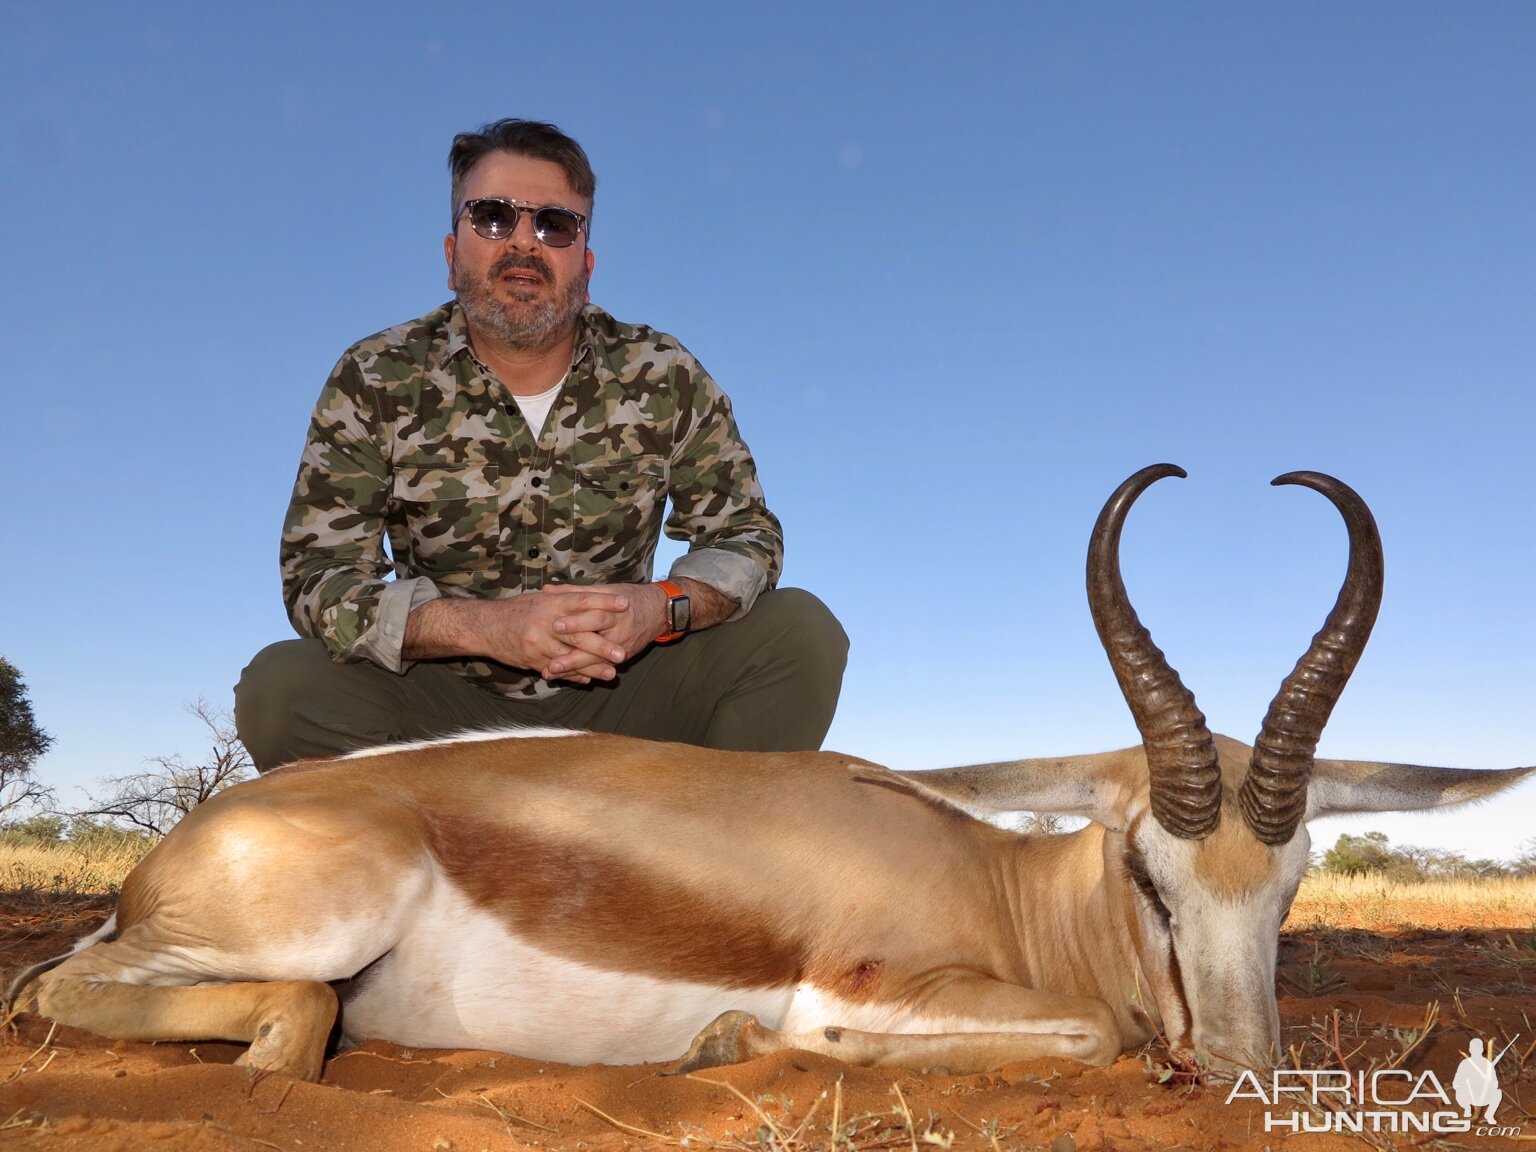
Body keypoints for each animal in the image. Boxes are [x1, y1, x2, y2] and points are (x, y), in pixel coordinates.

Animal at [12, 463, 1536, 1081]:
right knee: (93, 994)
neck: (1004, 885)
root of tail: (169, 858)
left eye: (1290, 886)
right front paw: (737, 1043)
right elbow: (1083, 1034)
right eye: (1147, 874)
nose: (1236, 1069)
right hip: (315, 932)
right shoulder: (870, 980)